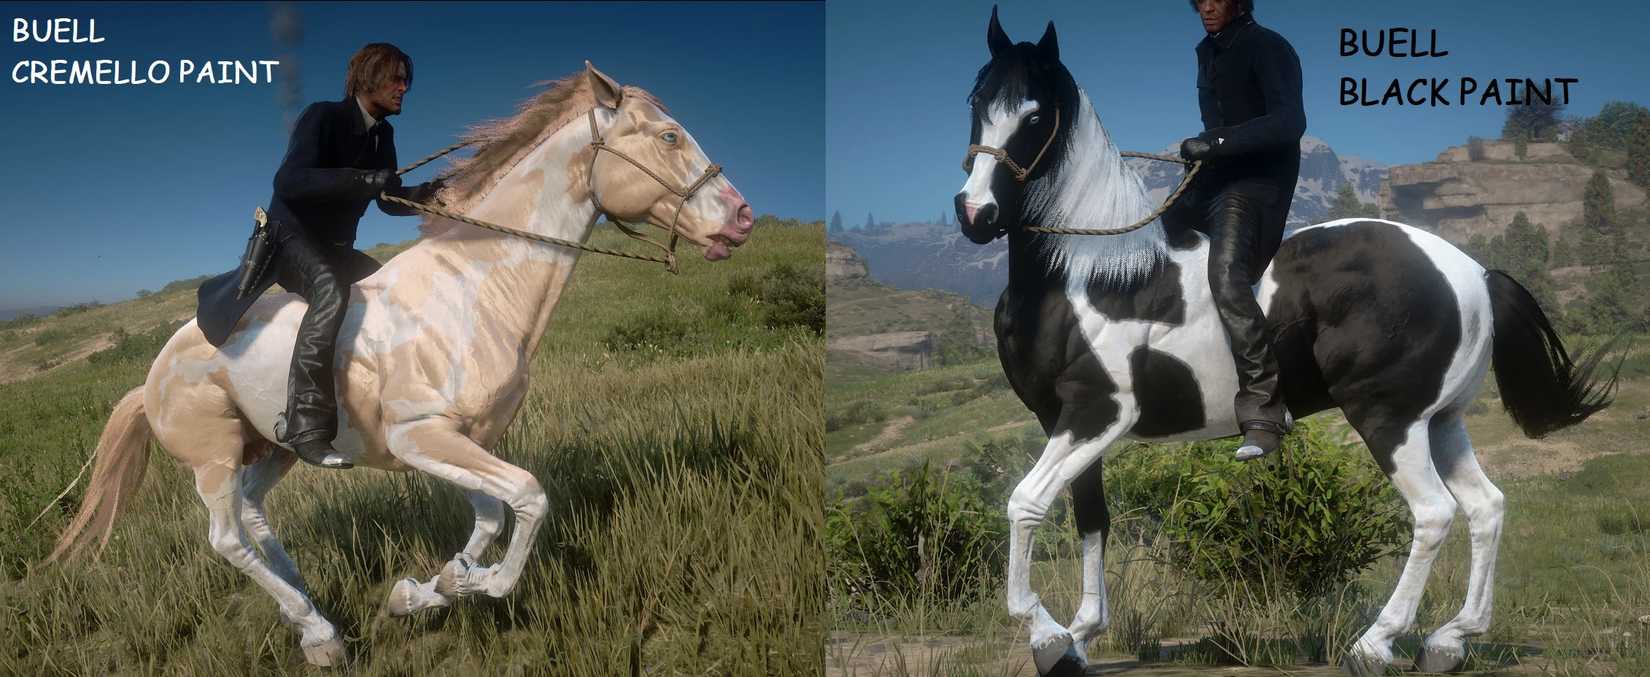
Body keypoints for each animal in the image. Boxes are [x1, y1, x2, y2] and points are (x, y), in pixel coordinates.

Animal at [44, 62, 756, 667]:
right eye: (669, 136)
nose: (742, 219)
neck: (478, 286)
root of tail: (150, 376)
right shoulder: (421, 436)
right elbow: (529, 498)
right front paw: (469, 585)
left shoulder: (464, 440)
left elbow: (491, 515)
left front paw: (427, 590)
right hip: (213, 456)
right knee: (226, 538)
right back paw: (316, 629)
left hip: (273, 448)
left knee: (253, 514)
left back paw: (315, 617)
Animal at [953, 11, 1620, 676]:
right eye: (977, 102)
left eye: (1034, 116)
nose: (975, 214)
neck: (1091, 270)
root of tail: (1474, 272)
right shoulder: (1060, 418)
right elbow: (1091, 518)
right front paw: (1079, 637)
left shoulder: (1099, 412)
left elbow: (1024, 503)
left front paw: (1045, 634)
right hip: (1442, 419)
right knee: (1486, 507)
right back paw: (1449, 641)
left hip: (1389, 416)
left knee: (1434, 514)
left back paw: (1375, 644)